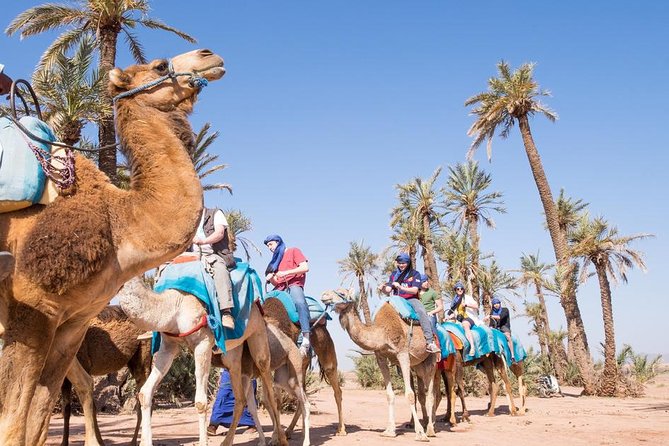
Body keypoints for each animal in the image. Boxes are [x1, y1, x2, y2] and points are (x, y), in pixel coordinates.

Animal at [61, 305, 152, 446]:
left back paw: (134, 442)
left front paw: (98, 442)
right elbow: (66, 409)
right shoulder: (65, 376)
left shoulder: (85, 364)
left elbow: (90, 406)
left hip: (143, 356)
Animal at [118, 276, 289, 446]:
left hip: (258, 336)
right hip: (233, 357)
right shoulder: (168, 346)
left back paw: (281, 439)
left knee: (270, 392)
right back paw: (228, 441)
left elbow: (200, 402)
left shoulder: (203, 343)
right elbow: (145, 392)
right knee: (240, 398)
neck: (175, 306)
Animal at [261, 295, 347, 437]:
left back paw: (342, 429)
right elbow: (269, 400)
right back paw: (292, 430)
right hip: (302, 365)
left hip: (325, 349)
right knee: (303, 395)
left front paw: (277, 436)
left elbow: (275, 400)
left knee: (336, 389)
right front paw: (276, 435)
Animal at [321, 289, 439, 441]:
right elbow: (389, 395)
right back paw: (424, 424)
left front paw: (420, 433)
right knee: (423, 392)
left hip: (431, 360)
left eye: (342, 292)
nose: (324, 295)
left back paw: (430, 429)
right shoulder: (381, 357)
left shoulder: (403, 354)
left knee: (431, 393)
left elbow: (409, 394)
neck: (381, 333)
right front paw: (389, 431)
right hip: (418, 364)